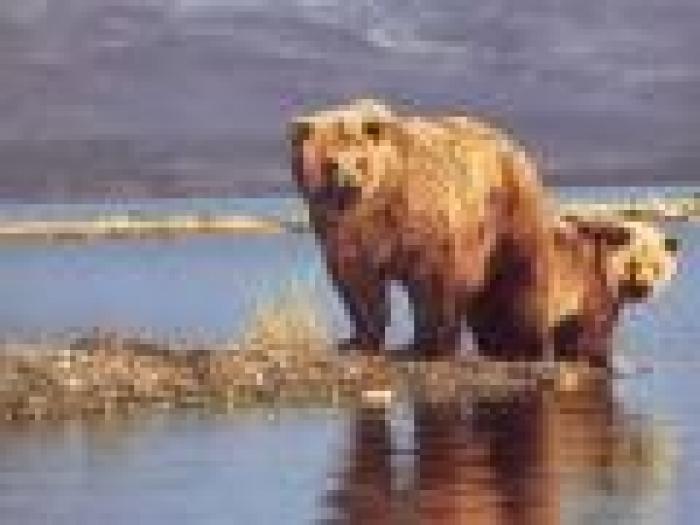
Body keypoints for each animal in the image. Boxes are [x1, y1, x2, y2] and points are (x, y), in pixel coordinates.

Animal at [290, 98, 555, 358]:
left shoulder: (419, 216)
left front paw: (427, 346)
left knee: (520, 277)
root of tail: (511, 145)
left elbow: (434, 279)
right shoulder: (340, 226)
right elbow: (357, 281)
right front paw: (356, 342)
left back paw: (523, 344)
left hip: (509, 214)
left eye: (360, 161)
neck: (374, 203)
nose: (350, 184)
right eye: (331, 163)